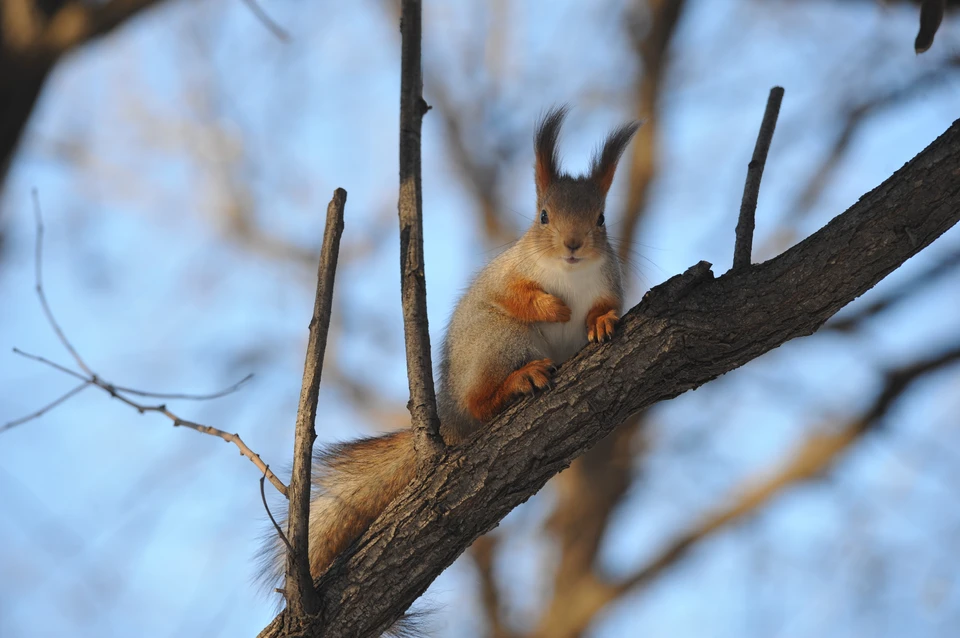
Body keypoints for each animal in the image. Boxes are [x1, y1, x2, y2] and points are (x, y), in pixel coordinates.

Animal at [258, 106, 640, 616]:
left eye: (601, 218)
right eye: (543, 216)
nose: (574, 244)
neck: (569, 273)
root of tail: (453, 414)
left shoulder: (608, 283)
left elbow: (604, 307)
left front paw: (601, 323)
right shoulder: (508, 276)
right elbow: (515, 295)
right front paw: (553, 308)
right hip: (500, 339)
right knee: (482, 399)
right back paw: (520, 381)